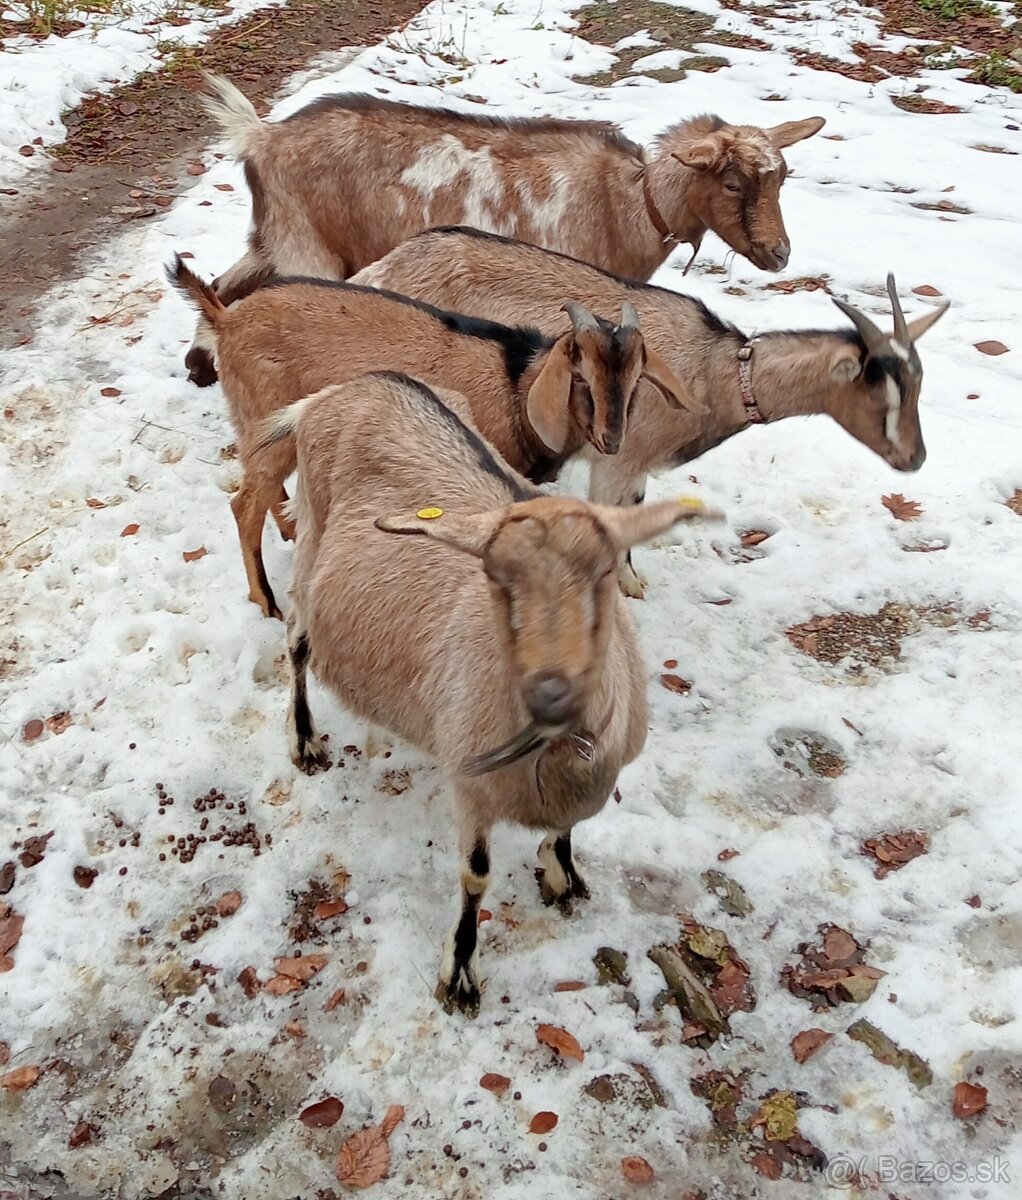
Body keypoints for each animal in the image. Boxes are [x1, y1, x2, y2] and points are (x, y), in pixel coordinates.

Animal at [167, 259, 690, 624]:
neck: (517, 385)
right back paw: (267, 601)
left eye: (637, 378)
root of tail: (225, 320)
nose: (612, 438)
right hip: (267, 422)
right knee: (244, 506)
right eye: (580, 376)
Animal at [181, 72, 820, 381]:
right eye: (733, 183)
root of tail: (261, 137)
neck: (628, 203)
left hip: (275, 236)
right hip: (307, 248)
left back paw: (200, 364)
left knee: (224, 283)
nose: (780, 253)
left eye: (784, 178)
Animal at [263, 372, 724, 1012]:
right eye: (495, 581)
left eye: (607, 575)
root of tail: (346, 388)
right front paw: (459, 973)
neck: (557, 751)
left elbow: (566, 830)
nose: (551, 692)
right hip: (309, 536)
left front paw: (563, 875)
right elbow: (476, 876)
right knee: (298, 641)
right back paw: (305, 739)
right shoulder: (472, 785)